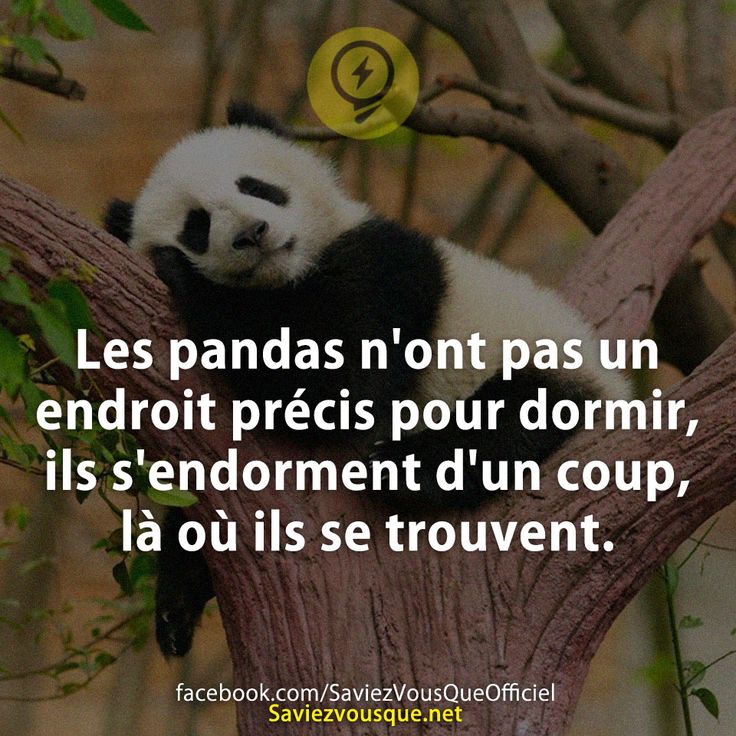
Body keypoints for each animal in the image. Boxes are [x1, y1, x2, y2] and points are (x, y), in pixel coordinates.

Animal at [105, 102, 628, 656]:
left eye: (256, 186)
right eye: (197, 224)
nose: (252, 232)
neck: (287, 278)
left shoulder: (383, 269)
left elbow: (335, 390)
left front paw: (186, 278)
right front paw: (176, 602)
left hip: (542, 360)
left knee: (513, 414)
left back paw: (400, 466)